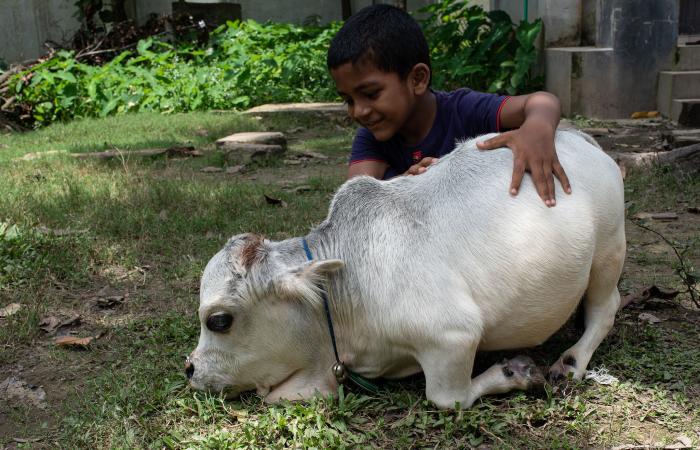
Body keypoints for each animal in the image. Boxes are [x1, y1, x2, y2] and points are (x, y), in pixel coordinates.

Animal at [185, 129, 624, 408]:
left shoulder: (454, 335)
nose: (190, 368)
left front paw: (515, 371)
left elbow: (448, 399)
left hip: (608, 251)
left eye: (219, 320)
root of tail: (577, 136)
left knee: (606, 306)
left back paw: (571, 361)